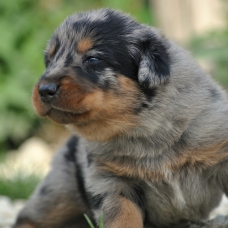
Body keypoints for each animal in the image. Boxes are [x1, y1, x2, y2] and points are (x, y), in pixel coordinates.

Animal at [12, 8, 228, 228]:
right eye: (48, 61)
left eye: (93, 59)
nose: (44, 90)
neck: (144, 128)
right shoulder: (110, 180)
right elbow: (123, 216)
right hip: (59, 191)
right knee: (30, 216)